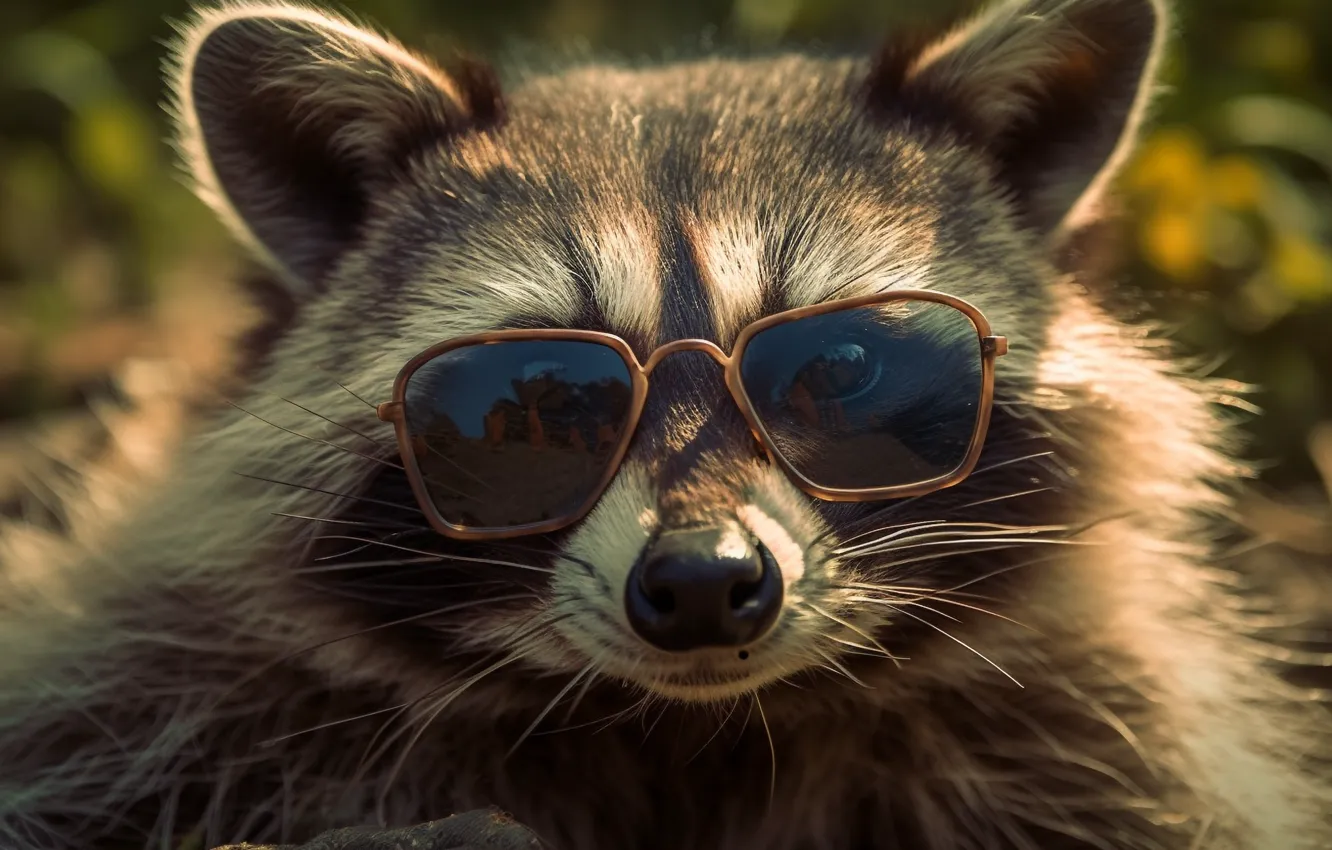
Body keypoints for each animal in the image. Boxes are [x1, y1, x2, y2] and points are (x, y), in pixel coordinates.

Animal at [2, 0, 1330, 848]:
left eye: (842, 366)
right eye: (545, 398)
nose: (699, 583)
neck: (686, 732)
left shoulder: (1100, 722)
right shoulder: (154, 683)